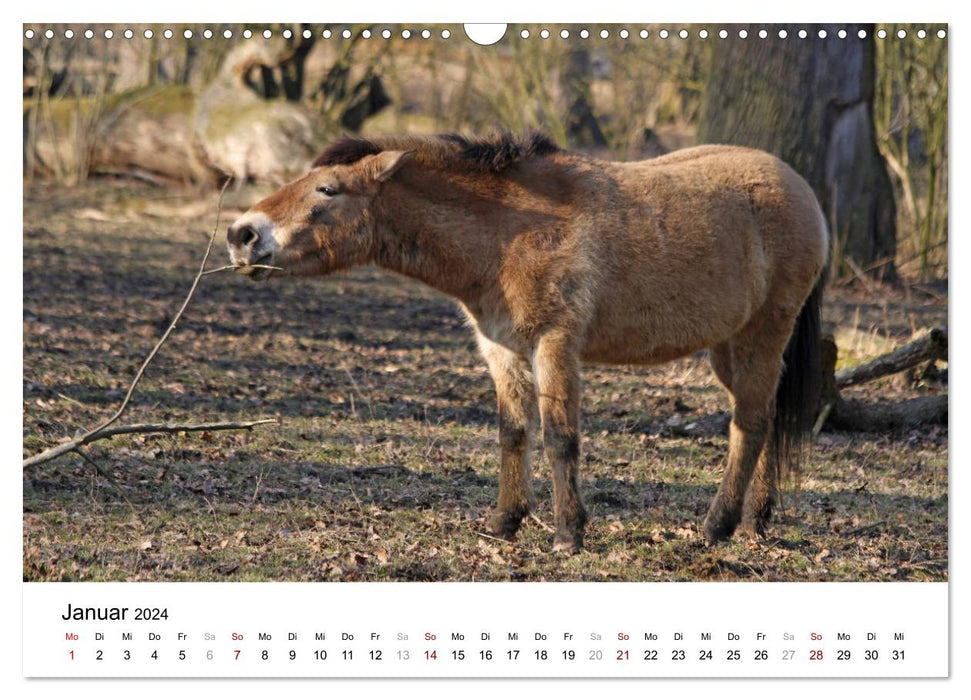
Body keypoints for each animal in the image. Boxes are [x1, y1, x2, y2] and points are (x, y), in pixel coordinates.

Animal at [228, 133, 828, 552]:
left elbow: (560, 437)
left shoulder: (554, 345)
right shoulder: (501, 349)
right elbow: (513, 432)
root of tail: (803, 190)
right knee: (764, 417)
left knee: (750, 424)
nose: (242, 234)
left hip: (762, 335)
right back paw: (754, 522)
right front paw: (504, 522)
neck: (506, 232)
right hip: (730, 346)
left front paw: (567, 533)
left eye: (328, 189)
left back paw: (717, 525)